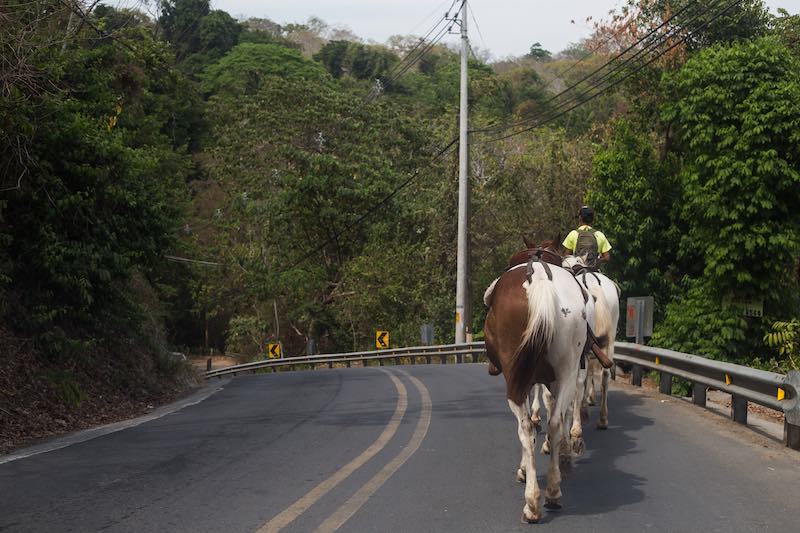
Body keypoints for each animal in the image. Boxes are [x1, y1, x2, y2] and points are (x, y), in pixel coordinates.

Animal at [482, 239, 608, 520]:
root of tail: (539, 280)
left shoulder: (523, 377)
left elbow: (530, 422)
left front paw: (523, 470)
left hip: (516, 377)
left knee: (526, 427)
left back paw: (532, 501)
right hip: (566, 368)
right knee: (556, 422)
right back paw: (553, 490)